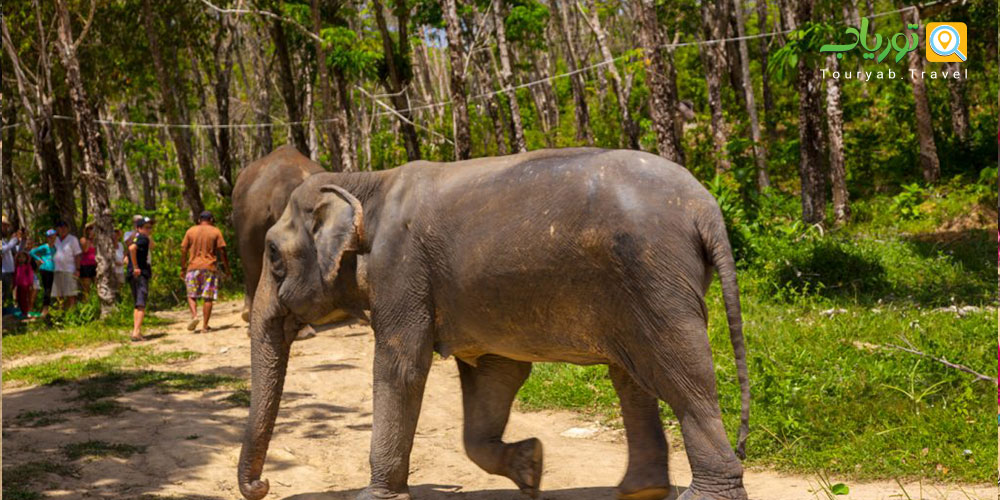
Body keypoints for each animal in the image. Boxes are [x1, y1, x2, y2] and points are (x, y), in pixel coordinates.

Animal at [237, 148, 751, 500]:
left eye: (273, 256)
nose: (262, 487)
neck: (364, 182)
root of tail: (706, 208)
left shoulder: (401, 271)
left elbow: (401, 369)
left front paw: (374, 497)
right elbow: (495, 376)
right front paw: (530, 468)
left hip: (654, 278)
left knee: (681, 378)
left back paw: (701, 496)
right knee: (632, 377)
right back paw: (640, 491)